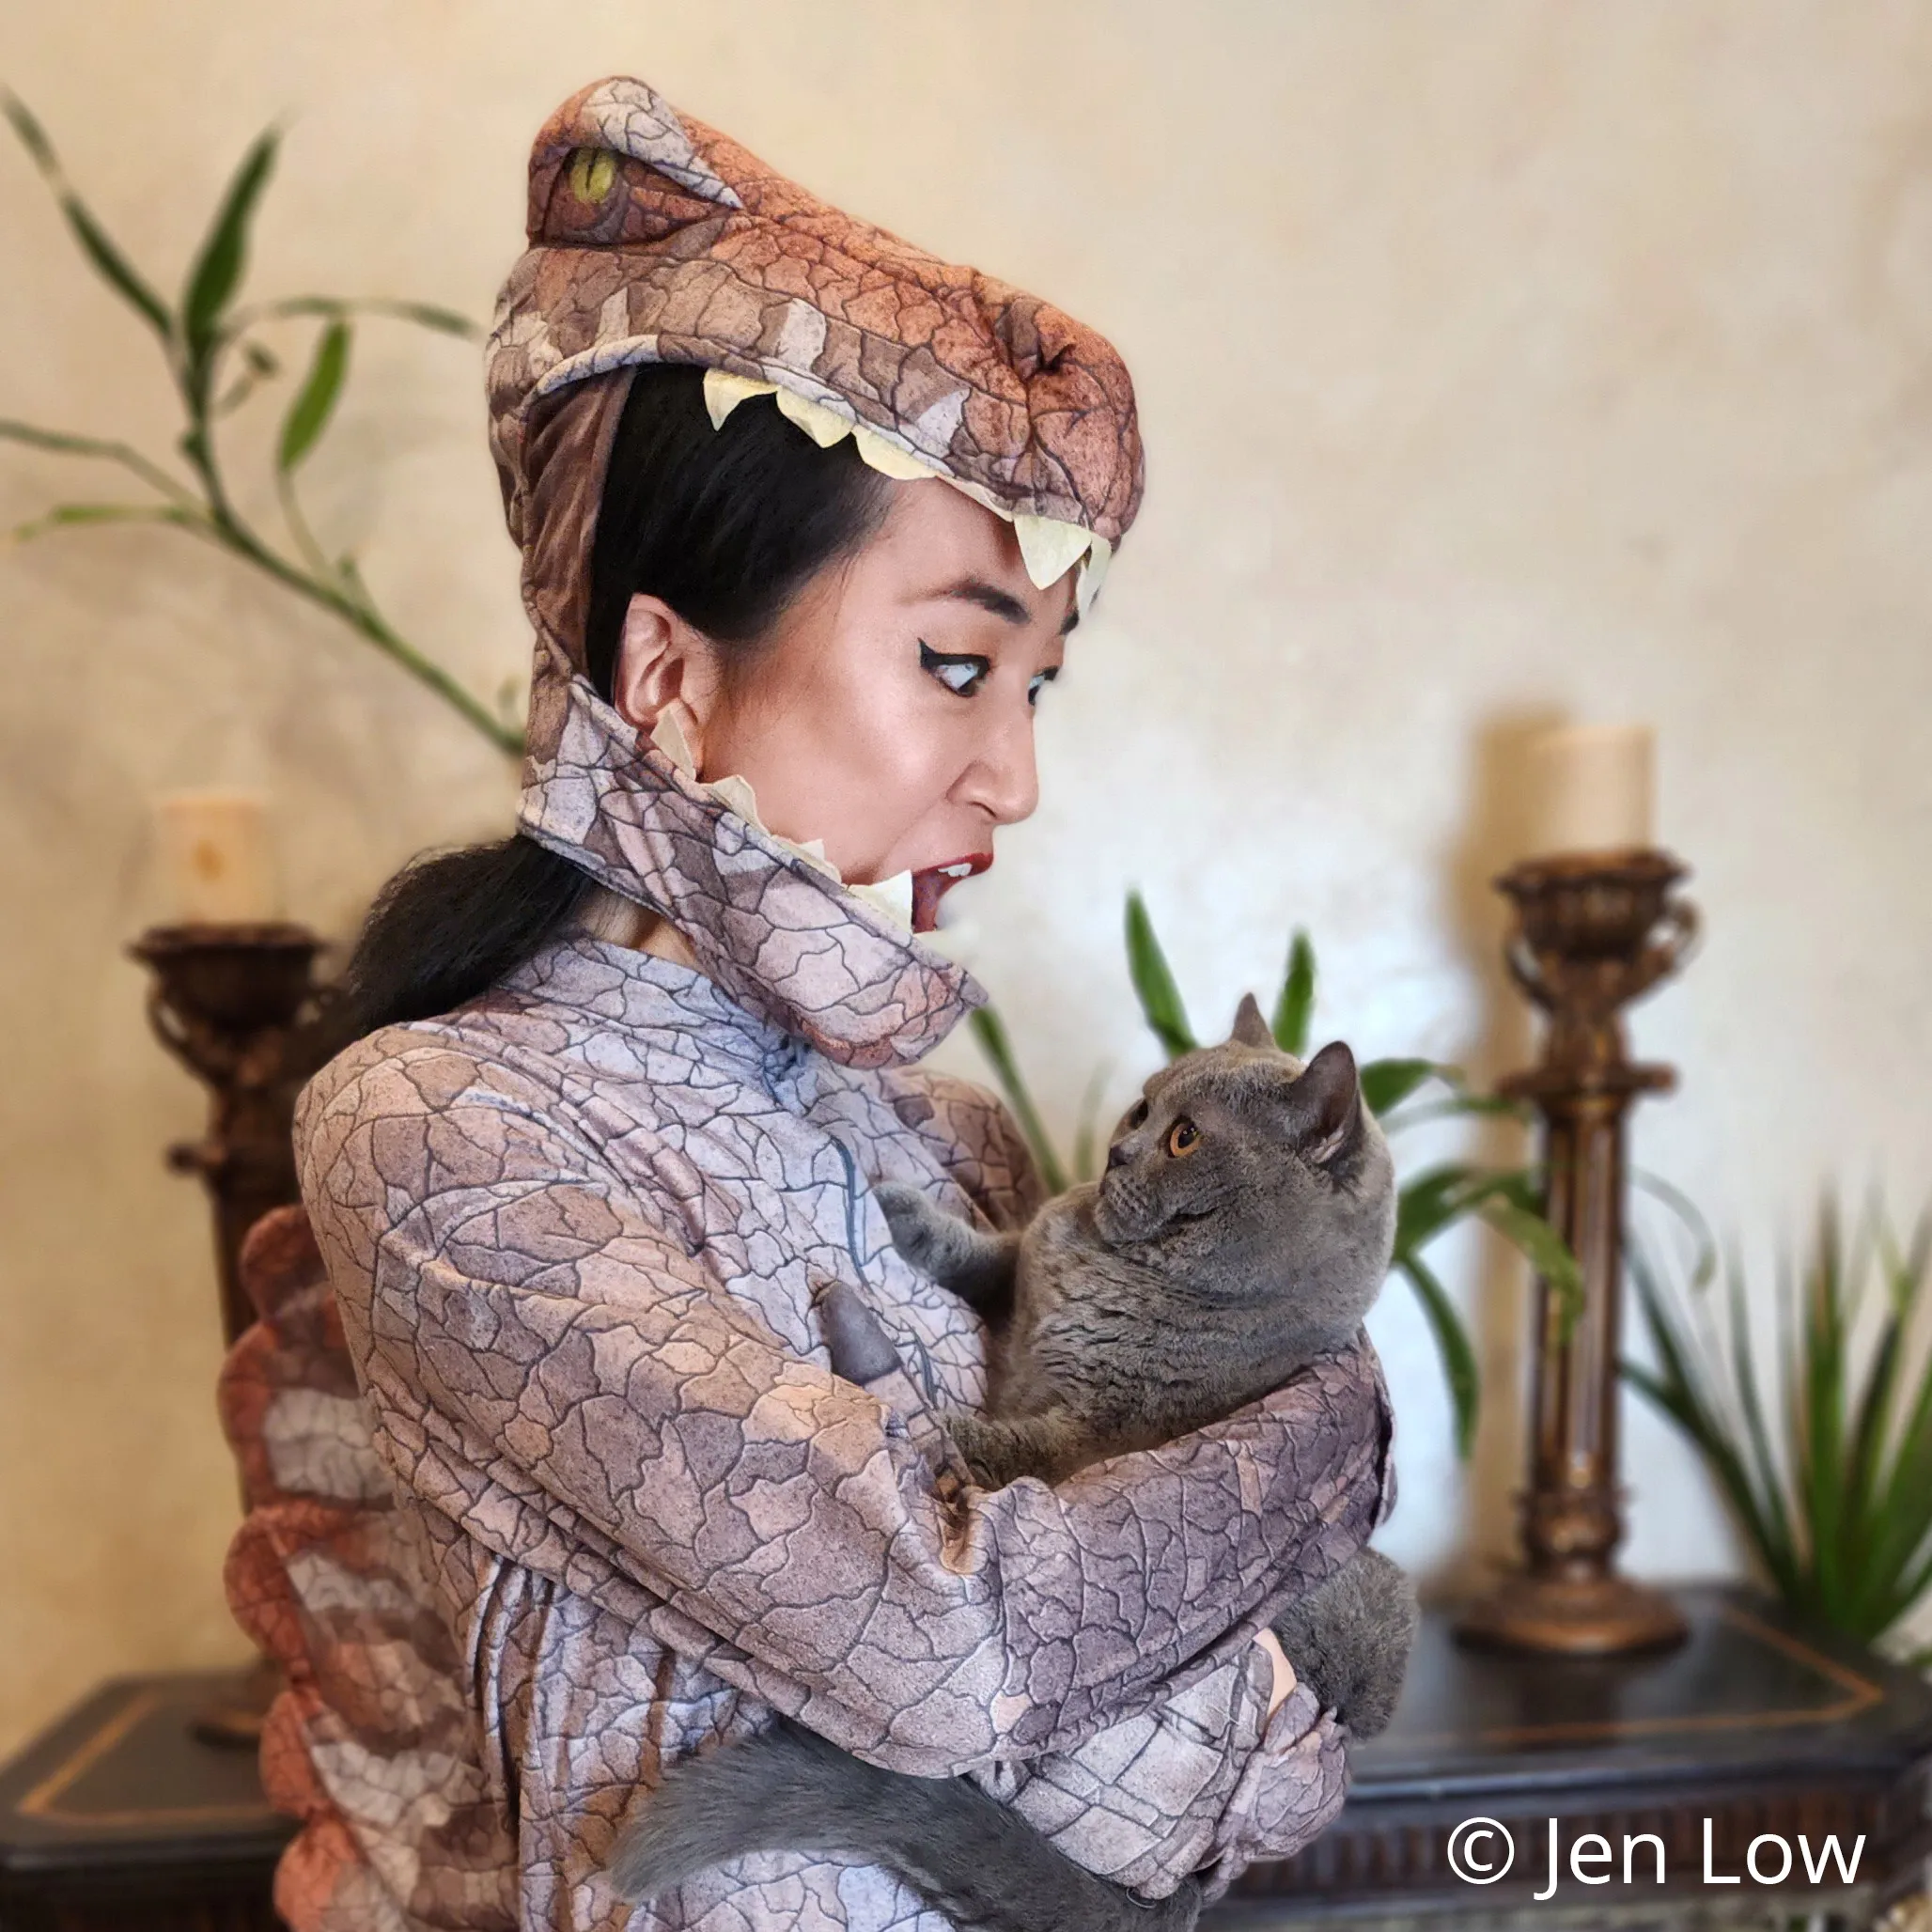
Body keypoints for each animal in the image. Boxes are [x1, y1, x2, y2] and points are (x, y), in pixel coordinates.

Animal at [610, 995, 1416, 1932]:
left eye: (1185, 1139)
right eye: (1142, 1109)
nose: (1117, 1153)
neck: (1117, 1272)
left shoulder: (1093, 1440)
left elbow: (993, 1441)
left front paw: (894, 1402)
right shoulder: (1029, 1262)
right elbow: (996, 1251)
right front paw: (900, 1209)